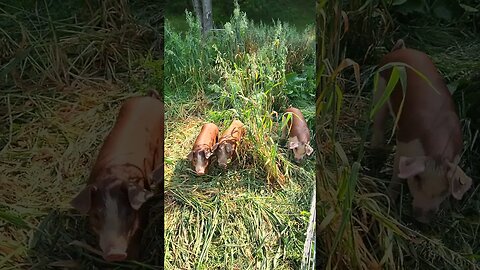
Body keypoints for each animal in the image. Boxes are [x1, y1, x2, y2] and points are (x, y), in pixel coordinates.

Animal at [69, 90, 163, 262]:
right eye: (96, 215)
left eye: (128, 213)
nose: (115, 254)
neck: (113, 176)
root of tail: (149, 98)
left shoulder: (143, 210)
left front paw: (134, 259)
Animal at [372, 39, 472, 223]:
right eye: (417, 180)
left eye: (444, 190)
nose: (422, 219)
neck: (437, 155)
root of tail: (402, 50)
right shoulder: (404, 143)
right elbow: (397, 174)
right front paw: (389, 197)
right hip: (380, 86)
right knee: (378, 120)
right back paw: (377, 148)